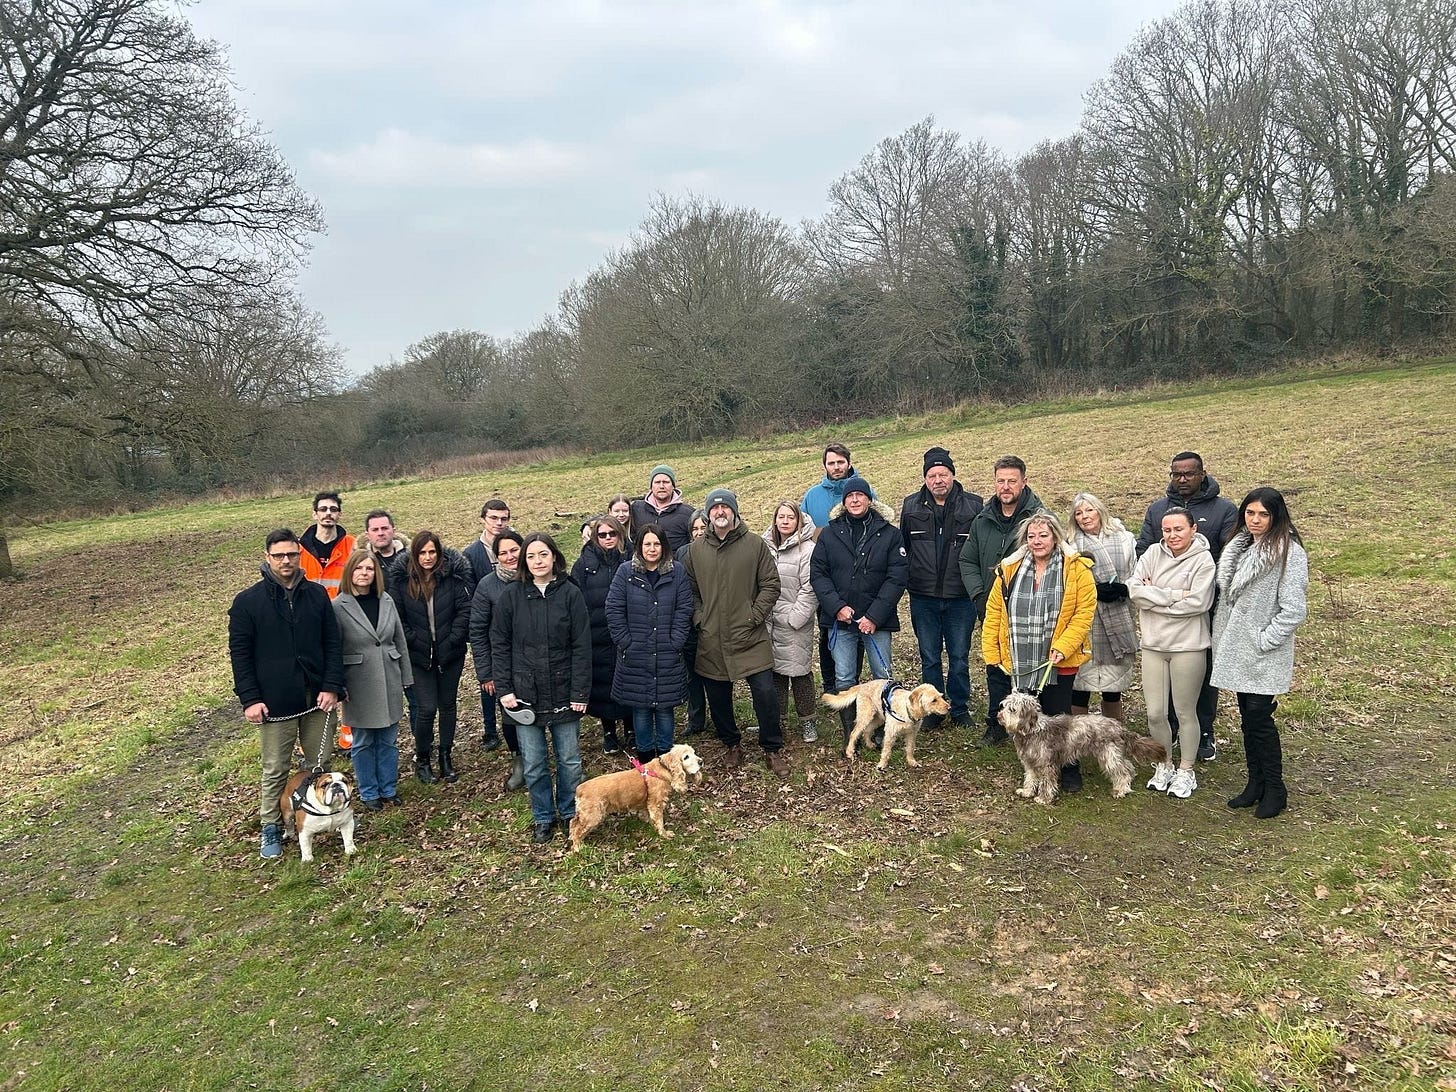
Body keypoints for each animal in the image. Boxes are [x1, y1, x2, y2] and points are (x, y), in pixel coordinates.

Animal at [995, 693, 1164, 803]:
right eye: (1004, 706)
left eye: (1012, 710)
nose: (998, 716)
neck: (1032, 731)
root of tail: (1118, 727)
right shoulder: (1030, 763)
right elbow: (1030, 779)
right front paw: (1027, 792)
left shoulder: (1046, 765)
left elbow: (1047, 783)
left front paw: (1043, 798)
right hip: (1111, 754)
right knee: (1127, 766)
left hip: (1108, 755)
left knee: (1122, 771)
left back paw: (1121, 789)